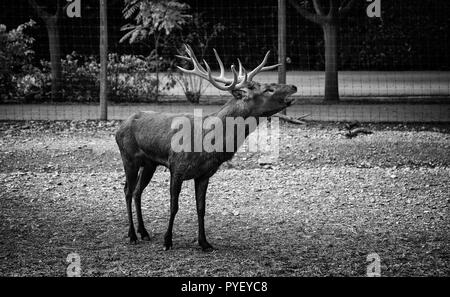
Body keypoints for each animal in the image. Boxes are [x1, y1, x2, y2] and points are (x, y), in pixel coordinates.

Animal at [116, 44, 298, 250]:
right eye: (268, 89)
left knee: (137, 191)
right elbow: (174, 206)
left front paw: (204, 242)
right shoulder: (177, 167)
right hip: (128, 157)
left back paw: (144, 232)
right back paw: (132, 234)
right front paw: (167, 240)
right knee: (127, 191)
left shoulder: (204, 174)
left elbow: (201, 208)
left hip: (149, 164)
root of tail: (119, 127)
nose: (293, 86)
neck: (209, 144)